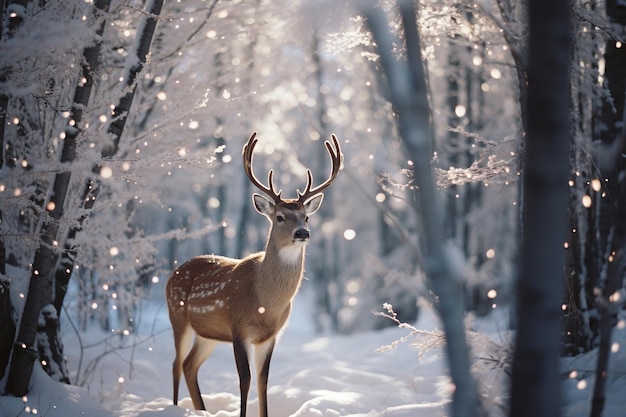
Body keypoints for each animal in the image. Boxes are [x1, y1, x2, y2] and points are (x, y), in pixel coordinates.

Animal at [165, 132, 342, 414]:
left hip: (207, 333)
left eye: (306, 217)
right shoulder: (238, 327)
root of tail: (174, 272)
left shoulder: (269, 336)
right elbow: (245, 380)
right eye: (280, 217)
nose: (302, 233)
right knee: (175, 365)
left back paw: (201, 409)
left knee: (189, 365)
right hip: (177, 316)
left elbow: (263, 381)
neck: (264, 303)